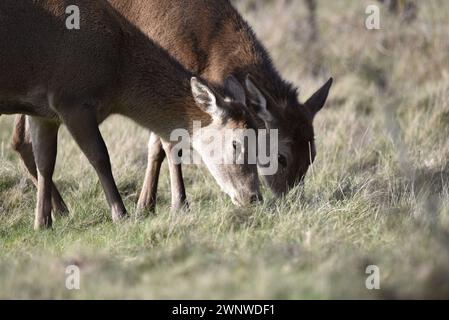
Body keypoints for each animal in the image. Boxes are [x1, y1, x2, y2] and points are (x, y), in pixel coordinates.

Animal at [9, 0, 332, 215]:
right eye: (280, 157)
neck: (206, 56)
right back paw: (59, 208)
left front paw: (147, 204)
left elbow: (156, 145)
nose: (291, 199)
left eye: (313, 155)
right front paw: (176, 204)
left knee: (22, 138)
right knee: (23, 138)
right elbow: (168, 144)